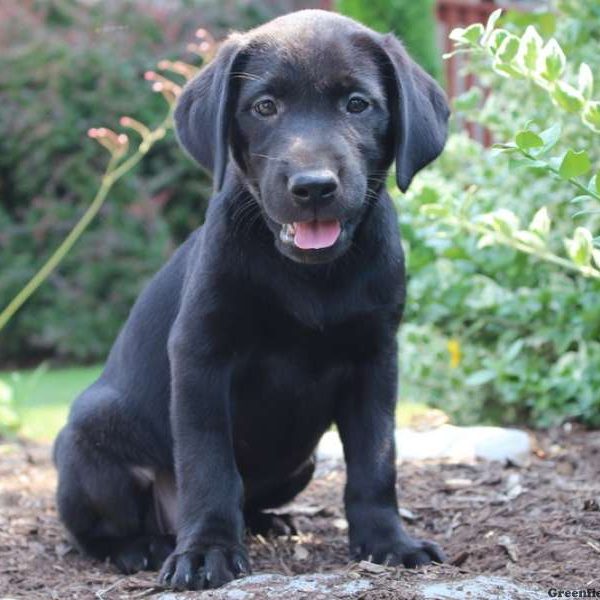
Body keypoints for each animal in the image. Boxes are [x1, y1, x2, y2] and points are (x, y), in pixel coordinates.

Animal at [55, 8, 450, 592]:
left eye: (358, 104)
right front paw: (207, 552)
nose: (313, 186)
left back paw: (270, 522)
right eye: (265, 107)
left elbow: (376, 462)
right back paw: (143, 547)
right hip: (90, 433)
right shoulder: (201, 356)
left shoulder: (376, 359)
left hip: (301, 463)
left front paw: (388, 542)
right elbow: (209, 465)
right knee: (96, 532)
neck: (312, 277)